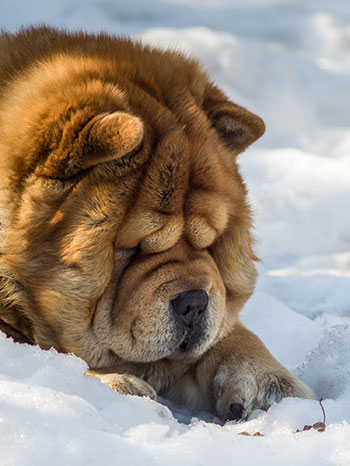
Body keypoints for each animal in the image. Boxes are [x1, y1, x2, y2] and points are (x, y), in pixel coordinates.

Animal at [0, 27, 312, 420]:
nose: (194, 302)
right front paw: (118, 385)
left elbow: (233, 333)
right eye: (132, 247)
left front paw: (271, 384)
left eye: (210, 244)